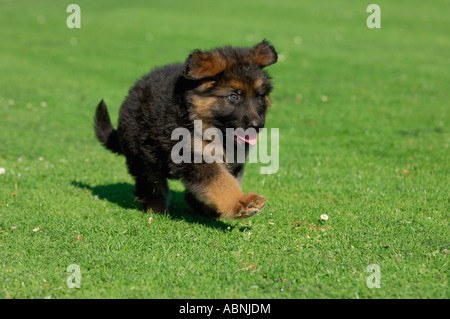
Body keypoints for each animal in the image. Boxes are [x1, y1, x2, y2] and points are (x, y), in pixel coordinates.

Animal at [94, 40, 276, 220]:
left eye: (259, 96)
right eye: (233, 96)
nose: (258, 125)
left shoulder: (233, 160)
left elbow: (228, 180)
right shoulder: (191, 156)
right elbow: (221, 181)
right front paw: (241, 202)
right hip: (143, 156)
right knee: (153, 186)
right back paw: (157, 210)